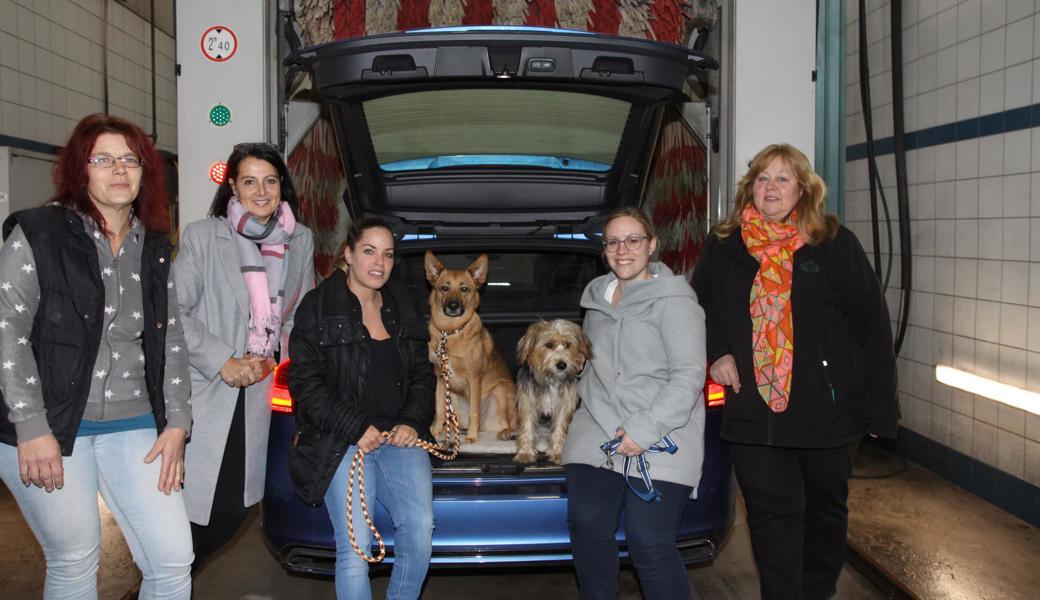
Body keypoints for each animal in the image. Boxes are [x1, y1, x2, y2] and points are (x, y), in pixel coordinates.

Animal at [424, 250, 517, 442]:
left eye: (464, 289)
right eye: (444, 288)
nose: (453, 306)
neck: (450, 332)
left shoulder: (474, 378)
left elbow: (475, 412)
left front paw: (472, 438)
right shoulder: (440, 377)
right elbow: (439, 409)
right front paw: (435, 432)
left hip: (500, 389)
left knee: (510, 424)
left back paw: (503, 432)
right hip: (453, 398)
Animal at [513, 318, 590, 463]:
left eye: (568, 345)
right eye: (548, 345)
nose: (562, 365)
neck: (551, 379)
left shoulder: (564, 406)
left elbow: (559, 429)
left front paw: (557, 453)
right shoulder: (528, 403)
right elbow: (527, 427)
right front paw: (525, 453)